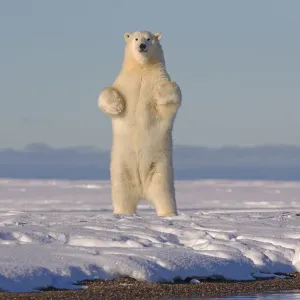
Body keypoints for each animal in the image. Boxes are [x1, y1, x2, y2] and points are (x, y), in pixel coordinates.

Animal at [98, 31, 182, 217]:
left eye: (149, 38)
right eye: (136, 38)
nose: (142, 46)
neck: (142, 69)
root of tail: (143, 191)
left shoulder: (158, 79)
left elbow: (171, 94)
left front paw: (160, 93)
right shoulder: (124, 82)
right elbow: (107, 92)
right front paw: (117, 105)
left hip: (160, 170)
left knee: (164, 195)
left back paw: (168, 213)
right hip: (121, 170)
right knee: (122, 195)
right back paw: (123, 213)